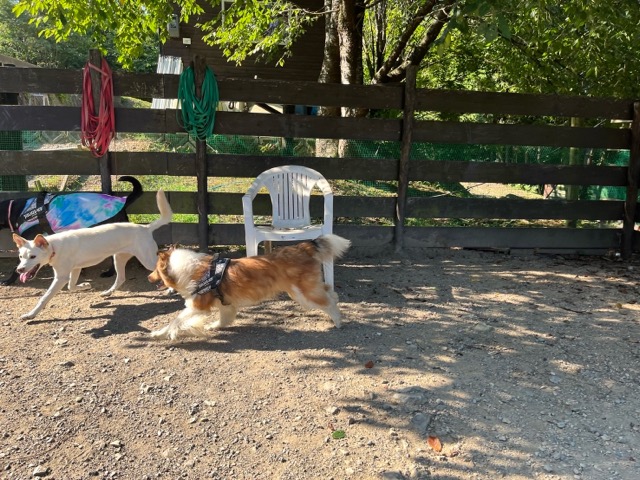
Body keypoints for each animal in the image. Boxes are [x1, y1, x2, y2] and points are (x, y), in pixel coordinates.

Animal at [12, 189, 172, 320]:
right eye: (20, 257)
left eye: (32, 257)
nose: (19, 270)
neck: (53, 246)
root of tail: (145, 227)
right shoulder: (75, 269)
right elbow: (71, 286)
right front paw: (85, 285)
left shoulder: (60, 277)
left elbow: (44, 298)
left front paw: (31, 315)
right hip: (119, 258)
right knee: (121, 278)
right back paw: (108, 292)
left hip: (147, 259)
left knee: (164, 268)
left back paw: (171, 288)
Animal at [147, 234, 351, 340]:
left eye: (156, 269)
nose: (149, 277)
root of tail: (302, 247)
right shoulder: (226, 305)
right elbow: (223, 320)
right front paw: (213, 326)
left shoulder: (197, 306)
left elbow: (174, 321)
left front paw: (159, 333)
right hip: (303, 291)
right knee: (331, 294)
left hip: (303, 294)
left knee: (329, 302)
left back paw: (338, 321)